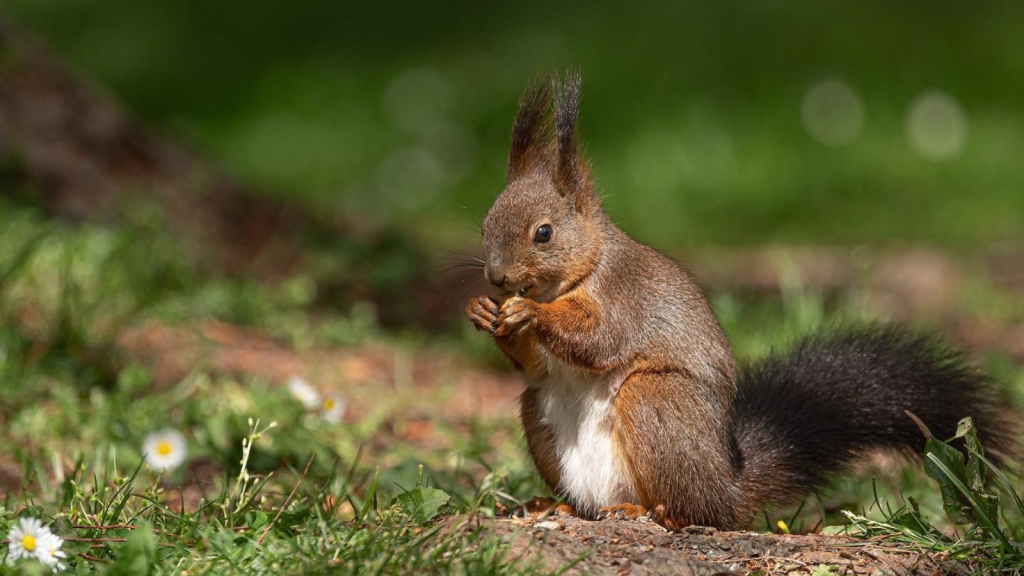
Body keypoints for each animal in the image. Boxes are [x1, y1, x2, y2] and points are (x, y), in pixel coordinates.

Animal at [468, 71, 1019, 528]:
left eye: (543, 233)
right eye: (485, 223)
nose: (497, 277)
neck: (583, 269)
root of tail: (727, 489)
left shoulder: (624, 297)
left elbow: (598, 339)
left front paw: (530, 313)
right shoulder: (543, 360)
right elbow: (535, 366)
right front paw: (484, 312)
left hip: (656, 401)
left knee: (692, 511)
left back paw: (650, 512)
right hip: (537, 412)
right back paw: (555, 505)